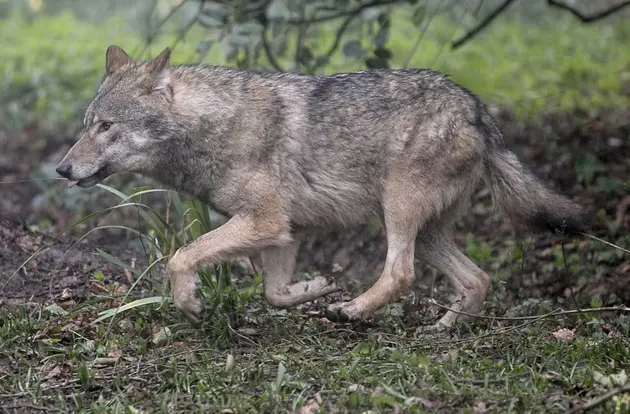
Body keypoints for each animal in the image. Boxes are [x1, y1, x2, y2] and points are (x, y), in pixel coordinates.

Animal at [56, 46, 592, 330]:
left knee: (402, 274)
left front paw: (188, 302)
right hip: (425, 231)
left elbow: (180, 257)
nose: (61, 170)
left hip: (397, 213)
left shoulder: (264, 222)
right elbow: (273, 293)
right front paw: (315, 287)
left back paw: (352, 311)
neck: (212, 128)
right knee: (477, 278)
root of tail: (479, 109)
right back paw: (442, 329)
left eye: (105, 127)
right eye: (85, 126)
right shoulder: (282, 232)